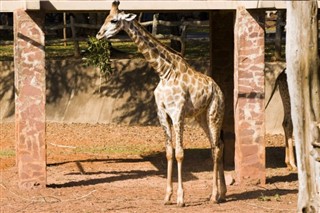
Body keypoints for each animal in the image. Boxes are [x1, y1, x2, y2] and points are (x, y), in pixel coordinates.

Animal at [96, 0, 226, 206]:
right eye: (106, 18)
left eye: (114, 20)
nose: (99, 34)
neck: (165, 72)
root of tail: (218, 89)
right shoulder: (162, 113)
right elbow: (169, 152)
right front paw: (167, 196)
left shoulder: (177, 113)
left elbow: (180, 152)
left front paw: (181, 198)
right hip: (201, 117)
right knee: (217, 146)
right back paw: (222, 193)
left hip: (214, 113)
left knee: (216, 148)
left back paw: (214, 196)